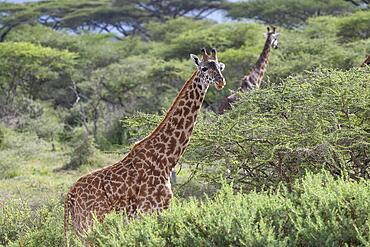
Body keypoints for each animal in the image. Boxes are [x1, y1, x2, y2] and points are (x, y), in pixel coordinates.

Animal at [63, 47, 225, 245]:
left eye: (220, 67)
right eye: (203, 68)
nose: (220, 82)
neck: (166, 159)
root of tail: (70, 196)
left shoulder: (150, 211)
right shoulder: (151, 208)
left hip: (81, 224)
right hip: (89, 221)